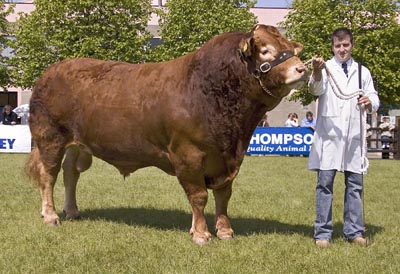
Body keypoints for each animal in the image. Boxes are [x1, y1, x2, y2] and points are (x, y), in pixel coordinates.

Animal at [26, 25, 308, 244]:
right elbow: (199, 196)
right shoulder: (188, 155)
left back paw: (72, 210)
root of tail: (51, 71)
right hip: (50, 138)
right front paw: (201, 234)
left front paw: (225, 231)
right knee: (48, 175)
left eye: (291, 49)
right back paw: (50, 215)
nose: (302, 69)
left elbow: (223, 196)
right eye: (265, 50)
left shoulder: (227, 159)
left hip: (77, 144)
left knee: (70, 173)